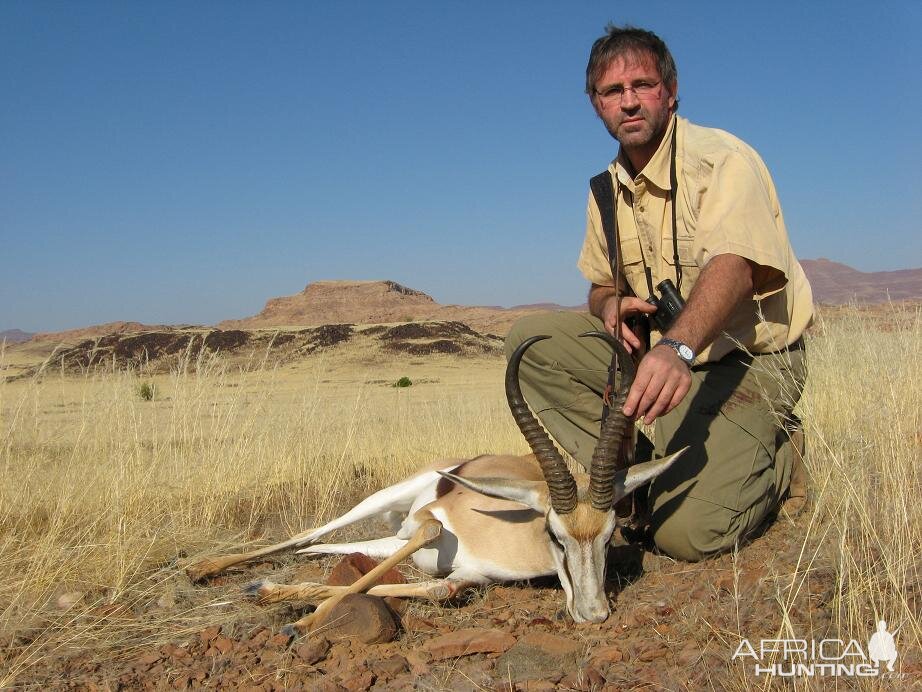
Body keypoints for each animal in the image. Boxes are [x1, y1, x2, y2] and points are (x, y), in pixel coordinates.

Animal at [187, 332, 680, 628]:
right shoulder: (427, 521)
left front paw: (277, 598)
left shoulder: (467, 577)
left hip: (386, 537)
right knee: (309, 533)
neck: (509, 531)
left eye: (611, 535)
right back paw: (203, 568)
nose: (594, 613)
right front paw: (299, 619)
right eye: (556, 536)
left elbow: (438, 588)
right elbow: (428, 529)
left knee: (321, 547)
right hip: (386, 498)